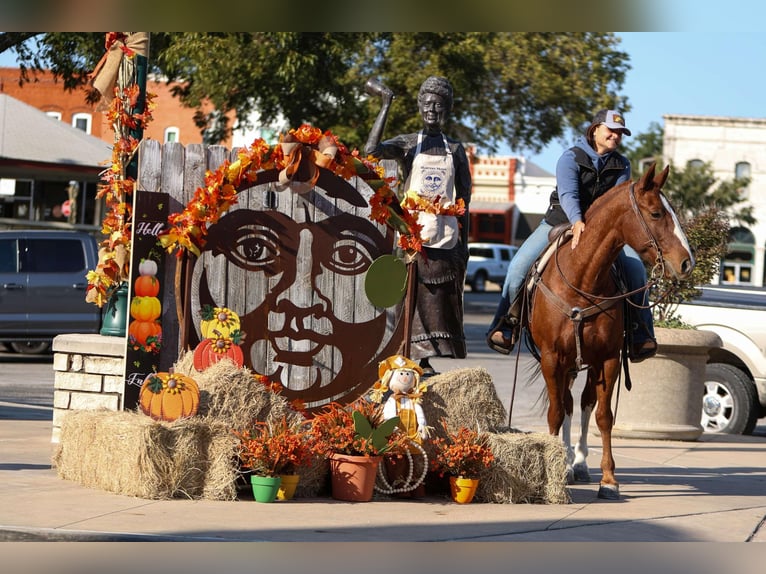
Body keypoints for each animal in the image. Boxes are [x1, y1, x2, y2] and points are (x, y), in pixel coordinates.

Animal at [520, 164, 696, 502]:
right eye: (656, 213)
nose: (686, 263)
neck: (583, 278)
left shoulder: (608, 359)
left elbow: (603, 416)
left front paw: (608, 480)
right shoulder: (552, 358)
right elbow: (555, 412)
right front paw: (553, 474)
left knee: (583, 402)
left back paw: (578, 463)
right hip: (565, 364)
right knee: (565, 404)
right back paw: (565, 462)